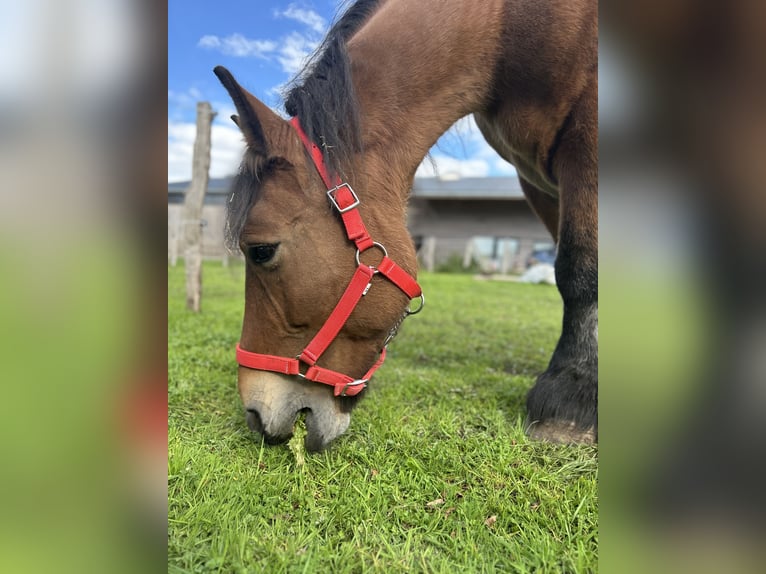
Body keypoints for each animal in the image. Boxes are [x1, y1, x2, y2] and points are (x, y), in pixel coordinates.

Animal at [215, 0, 597, 451]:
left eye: (261, 250)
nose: (254, 415)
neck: (511, 26)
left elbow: (580, 271)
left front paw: (571, 395)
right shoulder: (537, 182)